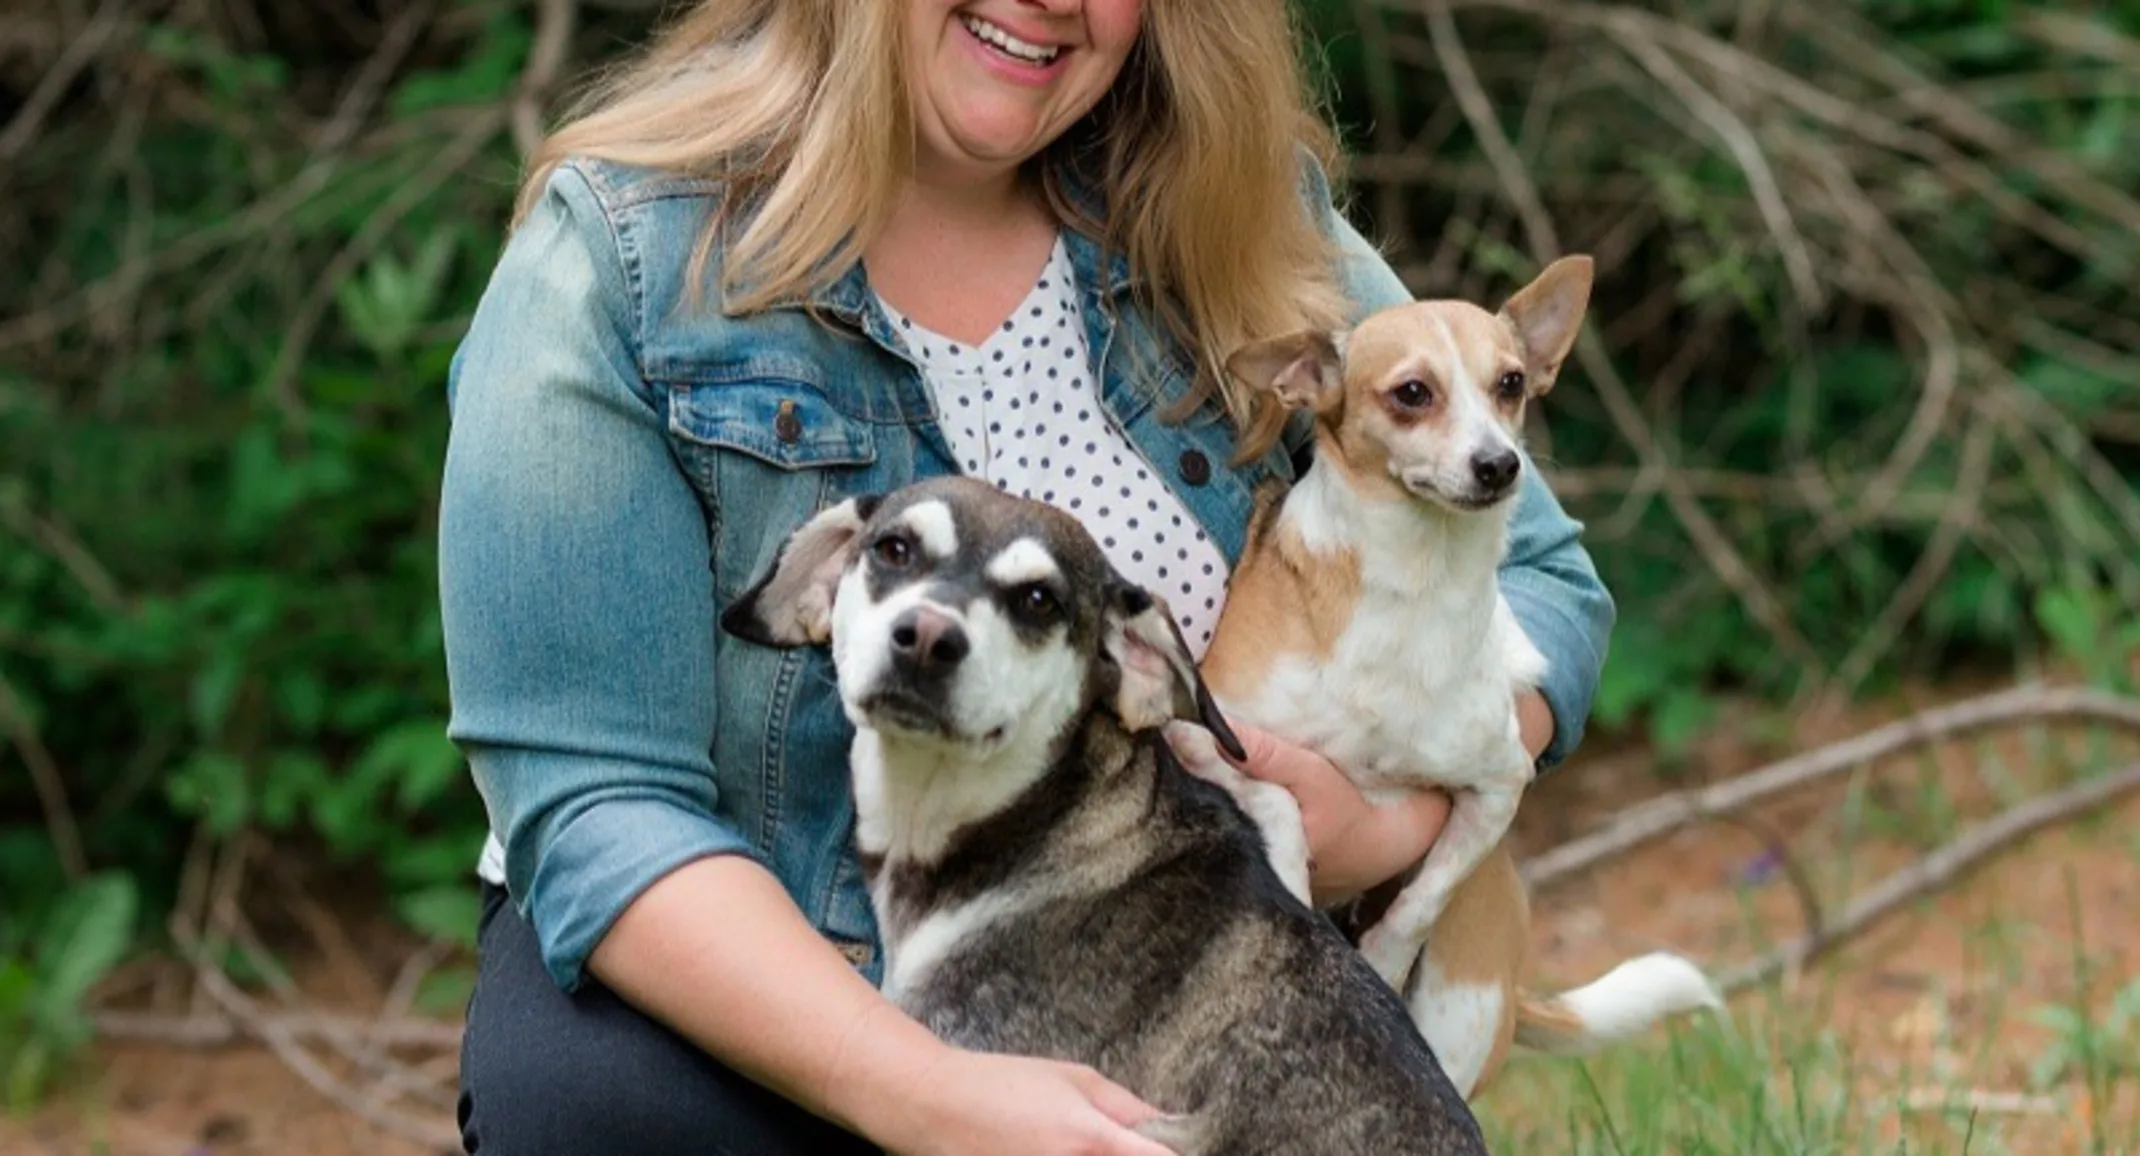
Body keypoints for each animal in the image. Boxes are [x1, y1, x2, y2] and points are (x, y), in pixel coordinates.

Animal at [1189, 256, 1720, 1096]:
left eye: (1511, 383)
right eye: (1413, 392)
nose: (1501, 463)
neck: (1416, 582)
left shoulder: (1498, 786)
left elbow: (1421, 897)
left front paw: (1377, 957)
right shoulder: (1203, 733)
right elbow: (1281, 803)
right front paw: (1299, 893)